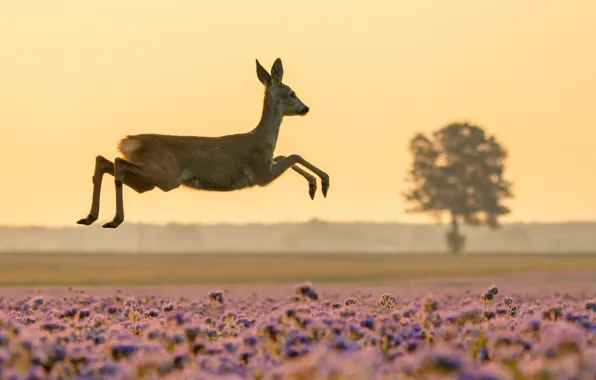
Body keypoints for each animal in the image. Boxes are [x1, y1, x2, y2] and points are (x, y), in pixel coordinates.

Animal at [76, 57, 328, 229]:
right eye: (292, 93)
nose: (305, 108)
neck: (262, 140)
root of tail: (128, 142)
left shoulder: (267, 166)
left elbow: (286, 156)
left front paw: (314, 187)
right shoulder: (261, 174)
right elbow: (293, 155)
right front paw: (322, 184)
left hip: (148, 182)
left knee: (104, 161)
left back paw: (90, 217)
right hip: (164, 176)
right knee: (117, 163)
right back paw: (113, 220)